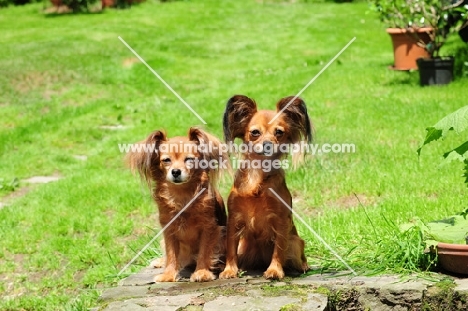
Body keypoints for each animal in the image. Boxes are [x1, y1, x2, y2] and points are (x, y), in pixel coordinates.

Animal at [128, 127, 229, 282]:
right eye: (166, 160)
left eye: (189, 159)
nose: (175, 171)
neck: (182, 195)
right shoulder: (169, 229)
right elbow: (171, 254)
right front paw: (168, 275)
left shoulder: (209, 228)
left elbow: (205, 251)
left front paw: (202, 272)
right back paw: (160, 262)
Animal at [219, 95, 310, 280]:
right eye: (255, 132)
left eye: (279, 132)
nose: (268, 144)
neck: (258, 174)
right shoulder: (234, 219)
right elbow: (230, 248)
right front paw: (229, 270)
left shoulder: (281, 221)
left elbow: (279, 249)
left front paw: (274, 270)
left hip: (295, 242)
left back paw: (302, 266)